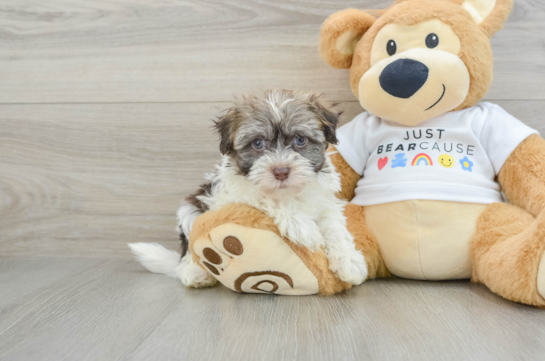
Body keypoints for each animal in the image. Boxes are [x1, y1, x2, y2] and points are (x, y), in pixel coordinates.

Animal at [129, 90, 366, 290]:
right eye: (258, 143)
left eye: (300, 140)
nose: (281, 171)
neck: (288, 193)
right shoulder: (229, 196)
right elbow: (262, 197)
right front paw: (302, 226)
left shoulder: (324, 202)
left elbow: (334, 225)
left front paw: (349, 262)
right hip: (190, 210)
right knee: (189, 248)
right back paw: (195, 273)